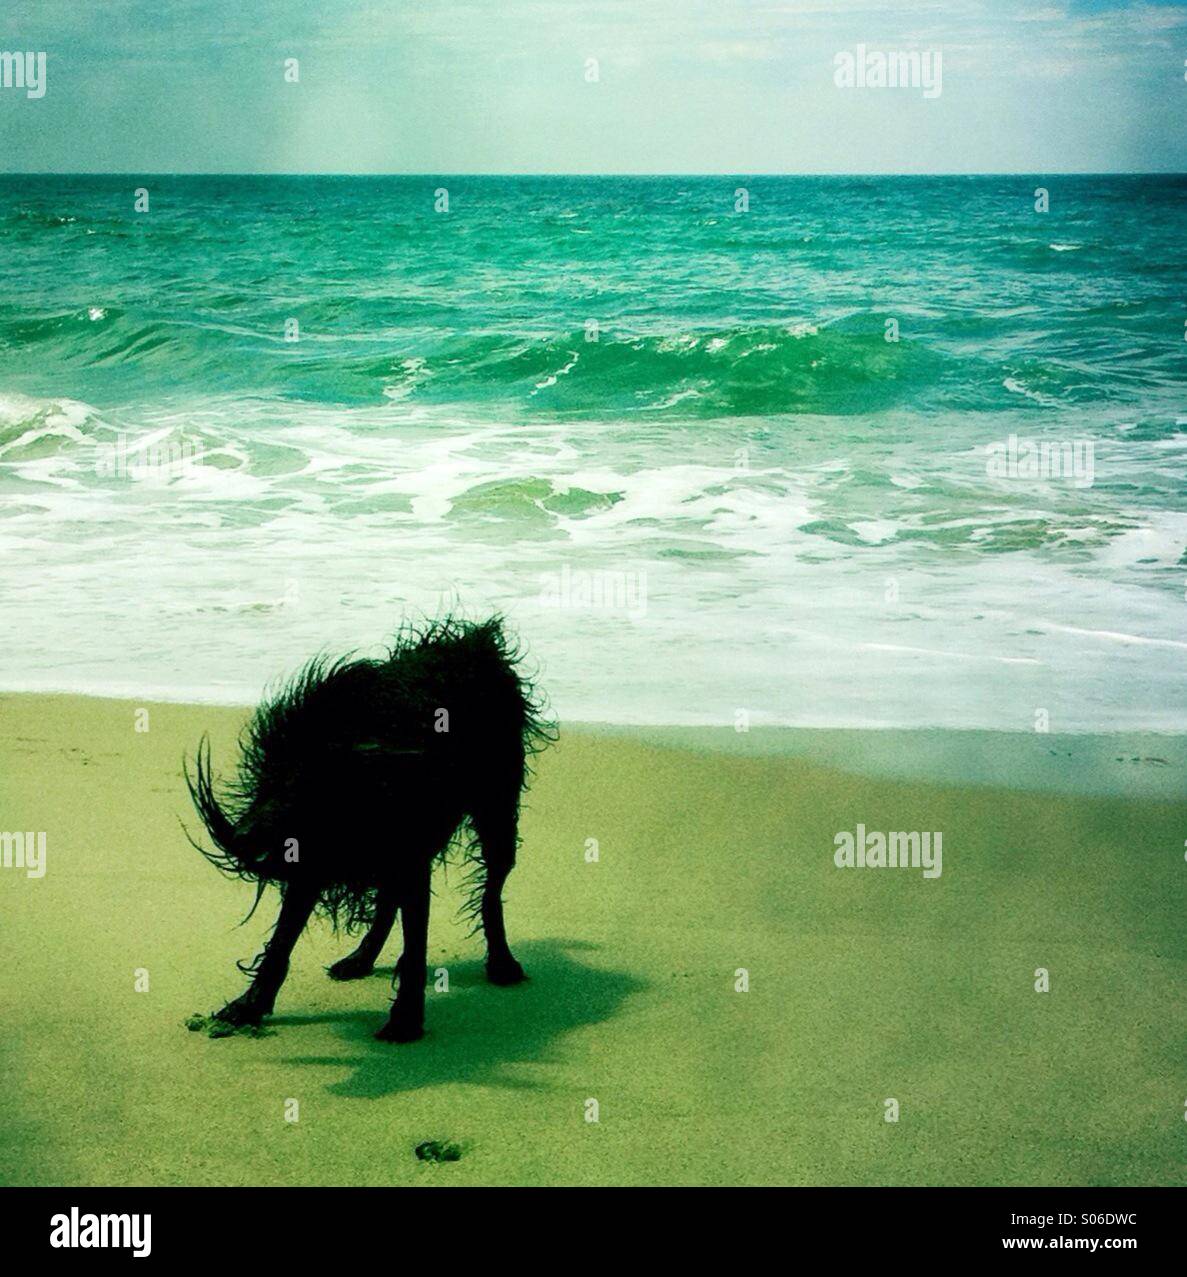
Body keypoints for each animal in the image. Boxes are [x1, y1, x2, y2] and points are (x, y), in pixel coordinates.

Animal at [185, 612, 551, 1042]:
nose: (242, 838)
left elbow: (415, 947)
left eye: (309, 783)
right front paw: (249, 1006)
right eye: (268, 774)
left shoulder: (408, 859)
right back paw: (360, 958)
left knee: (491, 889)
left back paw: (502, 963)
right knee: (389, 902)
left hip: (496, 812)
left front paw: (405, 1021)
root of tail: (476, 644)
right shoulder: (312, 863)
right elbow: (281, 942)